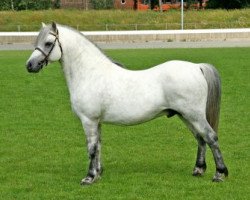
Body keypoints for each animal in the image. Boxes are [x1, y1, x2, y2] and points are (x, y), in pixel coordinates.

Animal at [26, 21, 228, 184]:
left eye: (48, 43)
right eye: (37, 41)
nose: (29, 65)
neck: (90, 73)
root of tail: (196, 67)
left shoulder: (88, 120)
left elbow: (91, 148)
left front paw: (89, 178)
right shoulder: (97, 122)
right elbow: (99, 146)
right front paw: (97, 174)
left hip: (194, 115)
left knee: (211, 137)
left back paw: (219, 174)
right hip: (186, 116)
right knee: (201, 138)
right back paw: (198, 169)